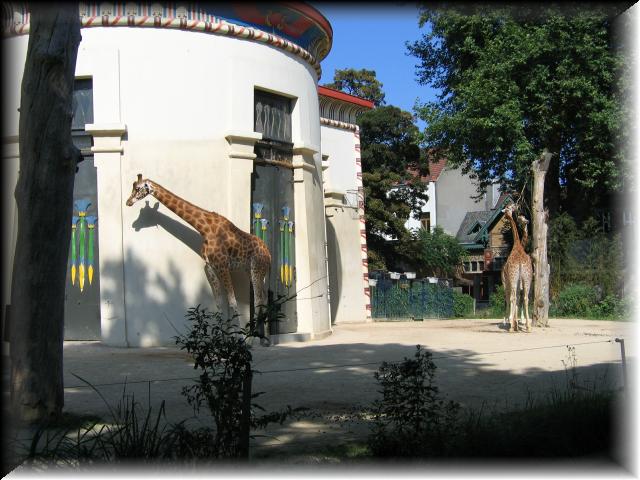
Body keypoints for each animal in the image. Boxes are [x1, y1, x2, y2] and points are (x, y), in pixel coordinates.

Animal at [126, 174, 271, 318]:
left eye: (138, 188)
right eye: (133, 186)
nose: (128, 202)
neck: (204, 230)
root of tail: (269, 255)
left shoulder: (223, 266)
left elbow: (233, 303)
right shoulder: (210, 266)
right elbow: (219, 303)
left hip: (257, 268)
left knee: (258, 299)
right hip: (249, 269)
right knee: (264, 297)